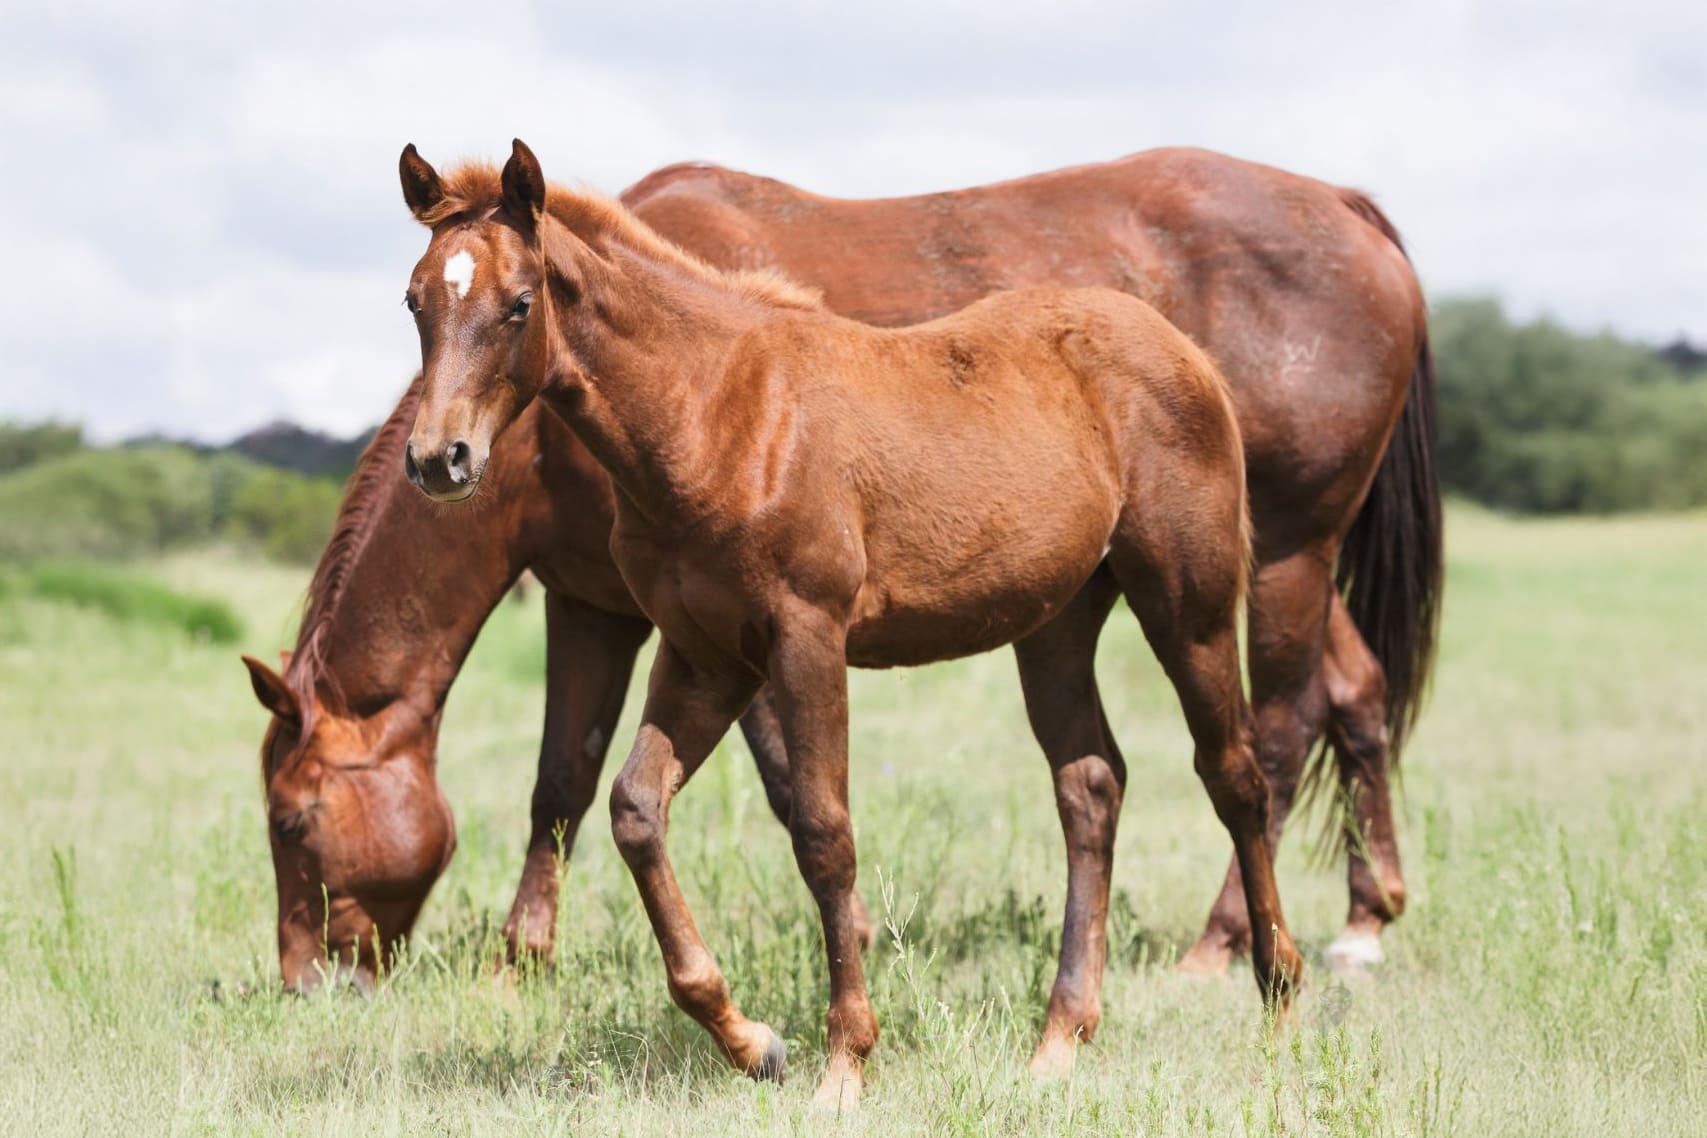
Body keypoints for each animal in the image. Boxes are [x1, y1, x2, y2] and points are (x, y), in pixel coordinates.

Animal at [396, 138, 1304, 1105]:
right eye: (415, 301)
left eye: (518, 304)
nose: (439, 459)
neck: (717, 412)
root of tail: (1187, 352)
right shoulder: (704, 653)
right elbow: (636, 809)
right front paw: (751, 1041)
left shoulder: (808, 636)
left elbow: (824, 835)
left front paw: (843, 1062)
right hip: (1054, 623)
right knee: (1090, 786)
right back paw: (1060, 1038)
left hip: (1188, 602)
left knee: (1234, 776)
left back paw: (1280, 1002)